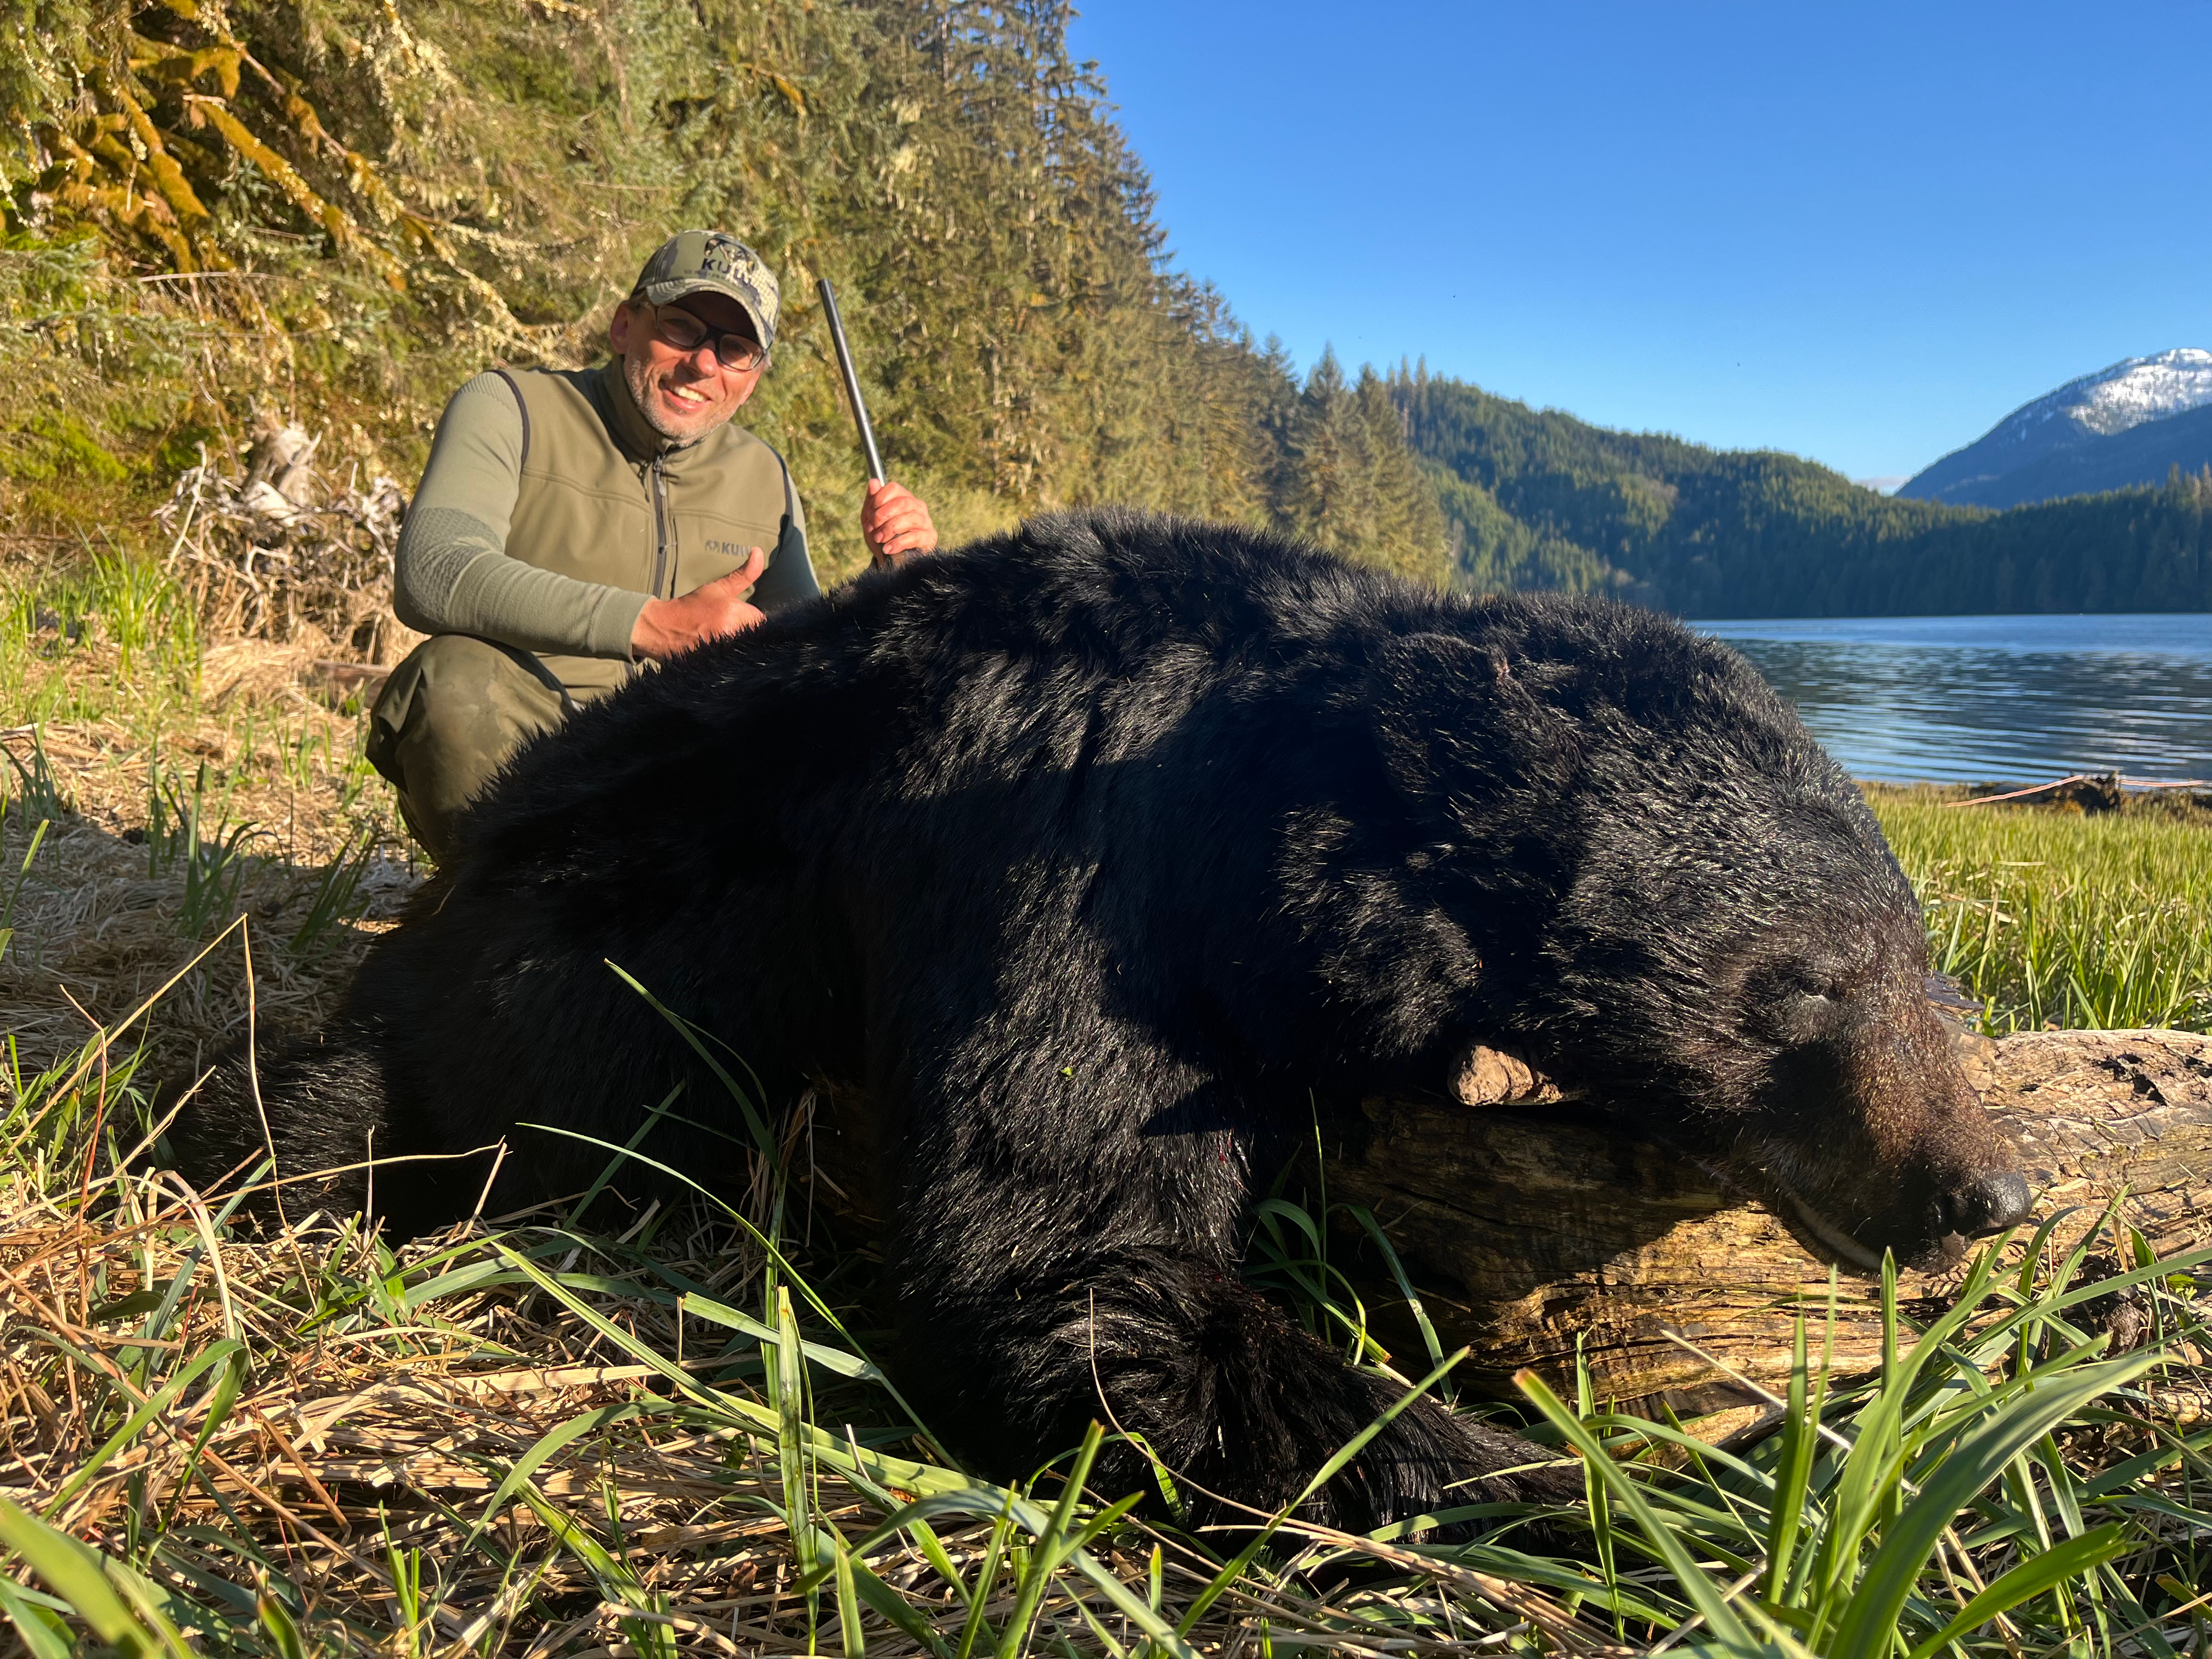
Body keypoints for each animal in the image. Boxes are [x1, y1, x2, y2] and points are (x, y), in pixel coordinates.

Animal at [170, 509, 2032, 1533]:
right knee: (353, 1109)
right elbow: (1066, 1255)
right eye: (1799, 990)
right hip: (476, 997)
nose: (1985, 1192)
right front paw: (1580, 1481)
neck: (1257, 804)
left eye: (1928, 968)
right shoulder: (1068, 857)